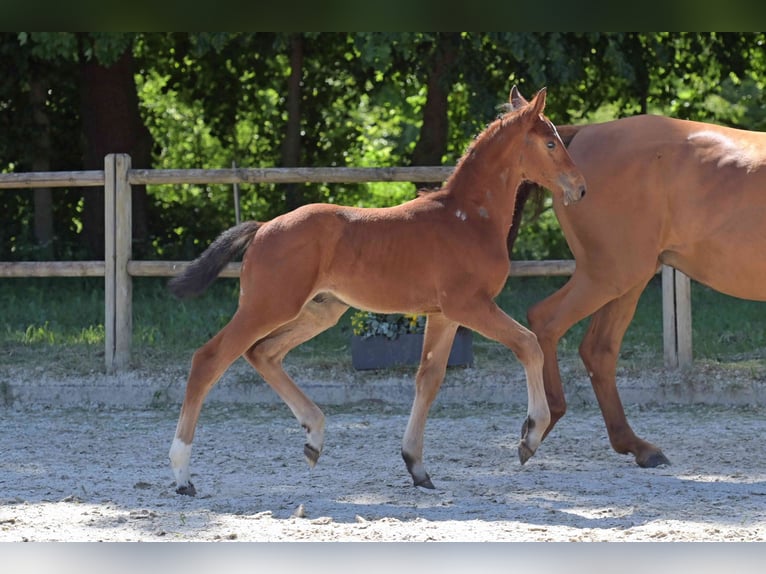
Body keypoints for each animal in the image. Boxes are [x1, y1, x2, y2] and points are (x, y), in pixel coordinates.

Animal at [166, 86, 587, 496]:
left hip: (320, 311)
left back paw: (313, 438)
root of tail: (263, 228)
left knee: (263, 353)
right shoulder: (470, 305)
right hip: (268, 306)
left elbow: (429, 379)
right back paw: (183, 475)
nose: (580, 188)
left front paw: (416, 467)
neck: (467, 219)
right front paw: (530, 437)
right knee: (210, 359)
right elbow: (528, 344)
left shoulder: (444, 315)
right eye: (550, 142)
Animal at [509, 88, 766, 468]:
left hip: (627, 281)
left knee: (598, 350)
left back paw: (637, 446)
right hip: (610, 275)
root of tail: (582, 135)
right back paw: (538, 427)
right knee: (547, 321)